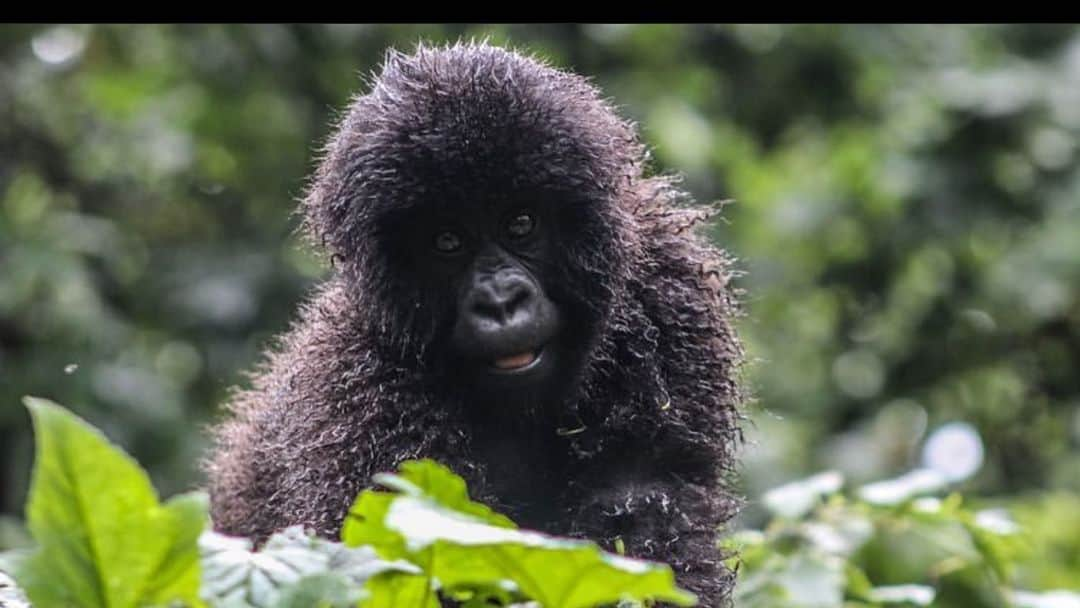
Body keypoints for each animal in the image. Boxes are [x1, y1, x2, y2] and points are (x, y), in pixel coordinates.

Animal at [204, 40, 743, 604]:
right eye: (448, 242)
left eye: (521, 223)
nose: (501, 301)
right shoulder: (358, 403)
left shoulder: (666, 289)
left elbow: (646, 509)